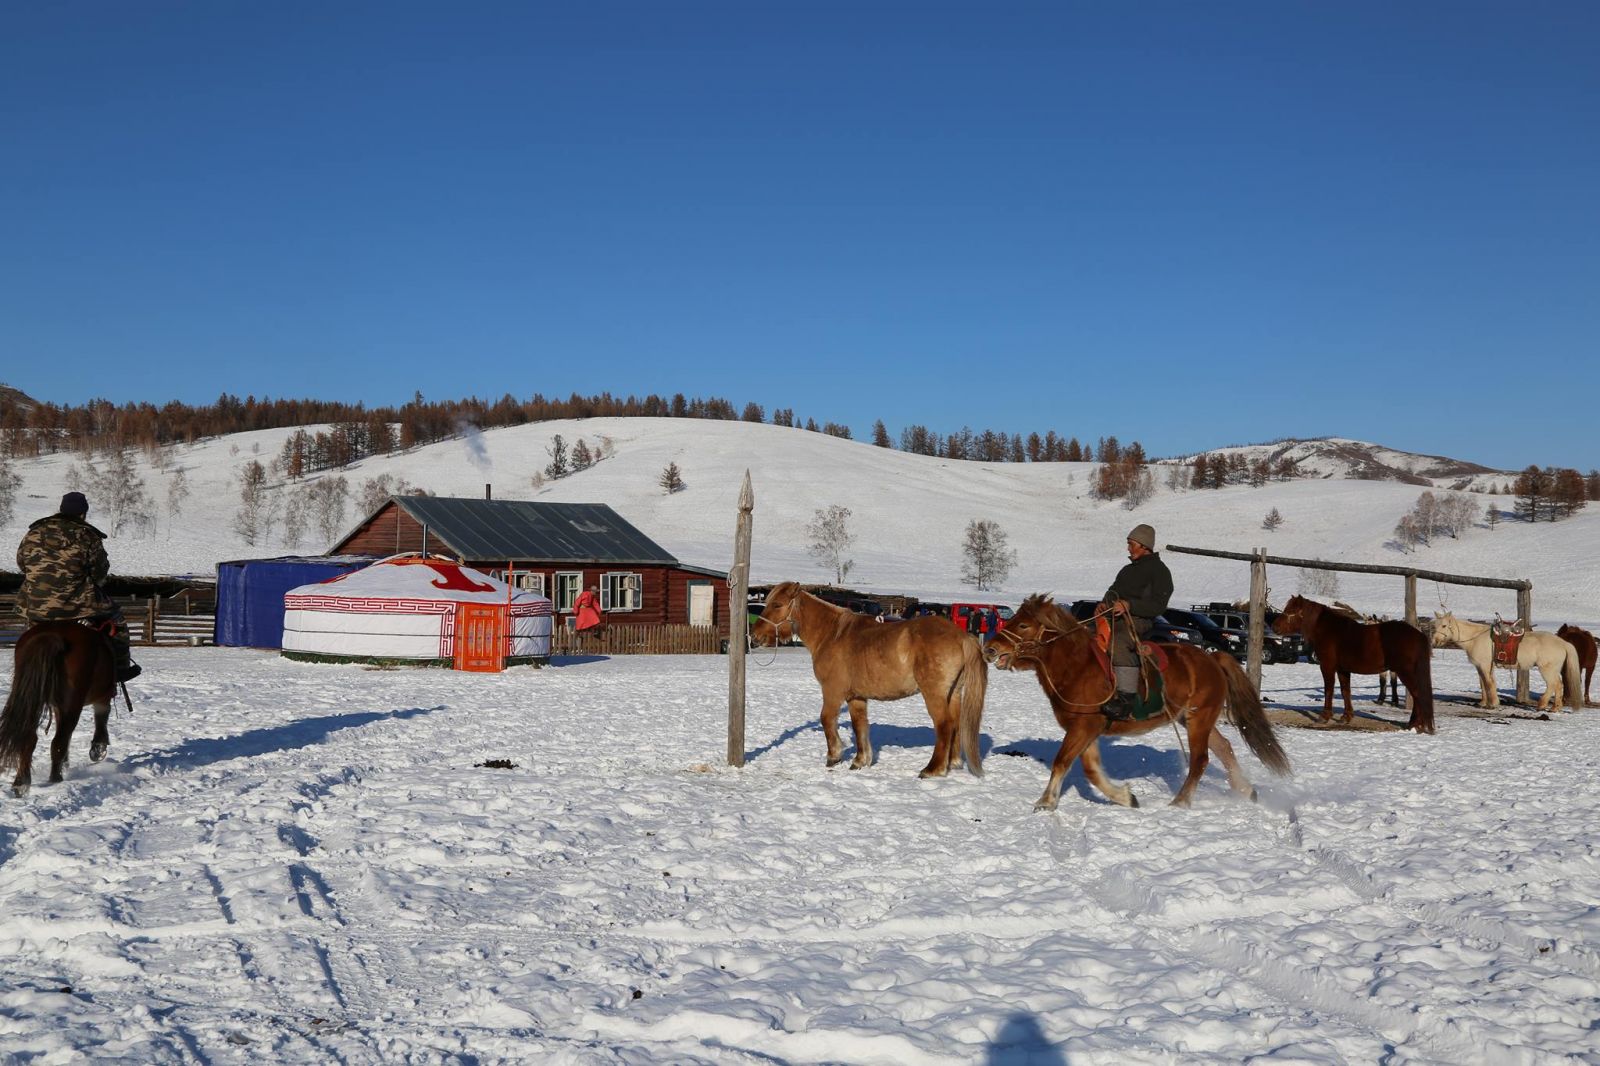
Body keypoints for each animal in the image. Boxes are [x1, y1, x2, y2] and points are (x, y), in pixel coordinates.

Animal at [1, 614, 117, 797]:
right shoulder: (103, 695)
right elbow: (101, 717)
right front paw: (98, 749)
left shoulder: (58, 706)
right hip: (73, 703)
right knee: (58, 742)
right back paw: (55, 778)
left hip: (32, 698)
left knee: (31, 738)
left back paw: (21, 783)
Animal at [748, 582, 985, 771]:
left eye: (777, 605)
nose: (754, 635)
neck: (833, 634)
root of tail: (962, 636)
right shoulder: (856, 697)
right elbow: (859, 725)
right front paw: (860, 761)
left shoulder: (832, 691)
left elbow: (826, 719)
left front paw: (834, 756)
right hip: (954, 693)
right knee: (955, 723)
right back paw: (952, 763)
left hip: (934, 694)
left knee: (944, 725)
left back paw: (932, 769)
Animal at [979, 592, 1292, 809]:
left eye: (1023, 625)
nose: (990, 649)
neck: (1078, 668)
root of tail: (1212, 658)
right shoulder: (1086, 729)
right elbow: (1091, 770)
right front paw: (1125, 797)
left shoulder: (1084, 727)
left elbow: (1062, 762)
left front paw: (1046, 802)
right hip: (1192, 718)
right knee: (1224, 748)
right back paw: (1246, 791)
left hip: (1199, 719)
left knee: (1201, 759)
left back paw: (1180, 801)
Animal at [1273, 592, 1440, 736]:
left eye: (1291, 610)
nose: (1274, 627)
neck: (1330, 631)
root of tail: (1418, 634)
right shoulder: (1342, 669)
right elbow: (1345, 691)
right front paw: (1345, 717)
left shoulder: (1327, 666)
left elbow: (1329, 690)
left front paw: (1324, 716)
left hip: (1405, 672)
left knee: (1417, 694)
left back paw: (1414, 724)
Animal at [1433, 611, 1580, 710]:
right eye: (1435, 625)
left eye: (1444, 625)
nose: (1435, 641)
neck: (1475, 638)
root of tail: (1563, 643)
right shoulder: (1482, 667)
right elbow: (1484, 684)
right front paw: (1483, 703)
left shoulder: (1484, 666)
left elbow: (1488, 684)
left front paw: (1493, 704)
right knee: (1559, 685)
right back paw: (1555, 708)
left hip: (1547, 669)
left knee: (1553, 684)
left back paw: (1542, 705)